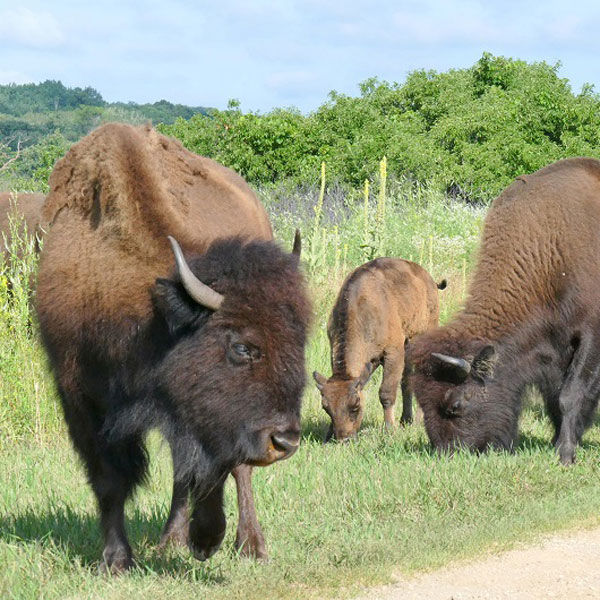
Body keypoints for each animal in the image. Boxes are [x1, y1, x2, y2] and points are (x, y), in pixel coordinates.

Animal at [35, 123, 312, 572]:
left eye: (298, 343)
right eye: (242, 347)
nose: (285, 442)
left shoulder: (205, 416)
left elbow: (214, 468)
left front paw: (207, 540)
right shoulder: (80, 396)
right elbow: (110, 479)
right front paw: (116, 560)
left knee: (235, 472)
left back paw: (248, 544)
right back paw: (171, 541)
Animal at [314, 258, 446, 440]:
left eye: (356, 406)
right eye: (326, 408)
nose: (344, 438)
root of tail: (429, 279)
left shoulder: (393, 353)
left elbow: (386, 392)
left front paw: (389, 429)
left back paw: (419, 420)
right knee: (406, 381)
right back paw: (406, 420)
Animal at [410, 156, 600, 464]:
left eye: (456, 405)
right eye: (422, 403)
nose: (448, 453)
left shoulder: (589, 337)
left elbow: (570, 395)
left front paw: (565, 454)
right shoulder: (552, 348)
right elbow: (554, 398)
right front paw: (558, 442)